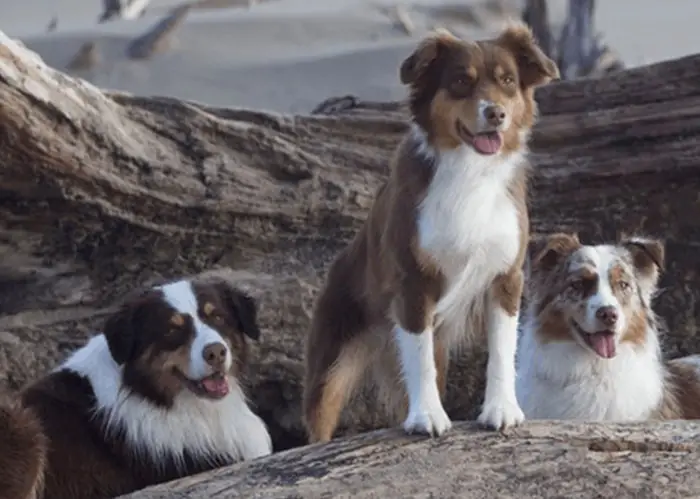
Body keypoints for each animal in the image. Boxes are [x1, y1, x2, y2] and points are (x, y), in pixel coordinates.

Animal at [300, 24, 556, 446]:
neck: (469, 169)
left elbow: (502, 351)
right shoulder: (414, 283)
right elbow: (419, 361)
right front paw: (427, 417)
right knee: (321, 416)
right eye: (461, 81)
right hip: (333, 359)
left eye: (507, 81)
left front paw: (502, 409)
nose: (496, 113)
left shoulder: (506, 277)